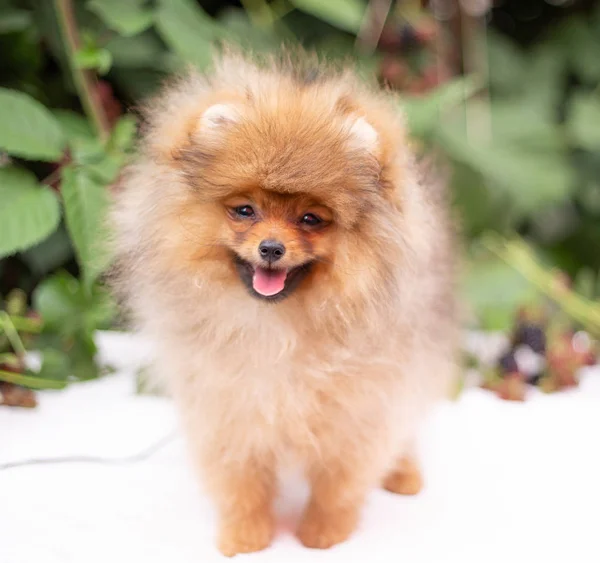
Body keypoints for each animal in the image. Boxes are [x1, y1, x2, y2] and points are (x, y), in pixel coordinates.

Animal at [110, 50, 458, 556]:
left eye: (310, 219)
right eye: (244, 211)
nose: (271, 247)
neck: (276, 327)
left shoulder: (361, 407)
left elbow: (341, 481)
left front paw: (323, 533)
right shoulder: (225, 405)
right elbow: (240, 481)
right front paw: (246, 536)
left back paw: (404, 472)